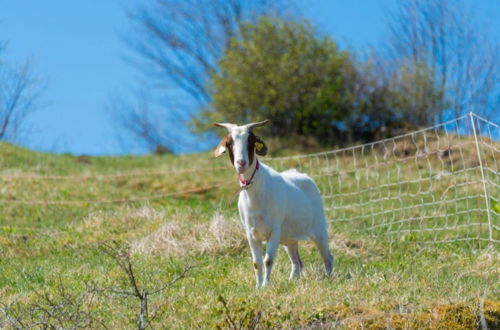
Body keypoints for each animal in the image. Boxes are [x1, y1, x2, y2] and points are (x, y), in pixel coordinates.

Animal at [214, 120, 334, 288]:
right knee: (297, 262)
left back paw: (328, 277)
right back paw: (292, 281)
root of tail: (304, 176)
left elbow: (268, 260)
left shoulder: (275, 230)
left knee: (328, 256)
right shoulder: (250, 233)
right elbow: (256, 263)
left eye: (251, 141)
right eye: (229, 143)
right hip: (289, 237)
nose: (241, 163)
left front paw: (265, 285)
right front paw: (258, 287)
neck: (255, 196)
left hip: (318, 228)